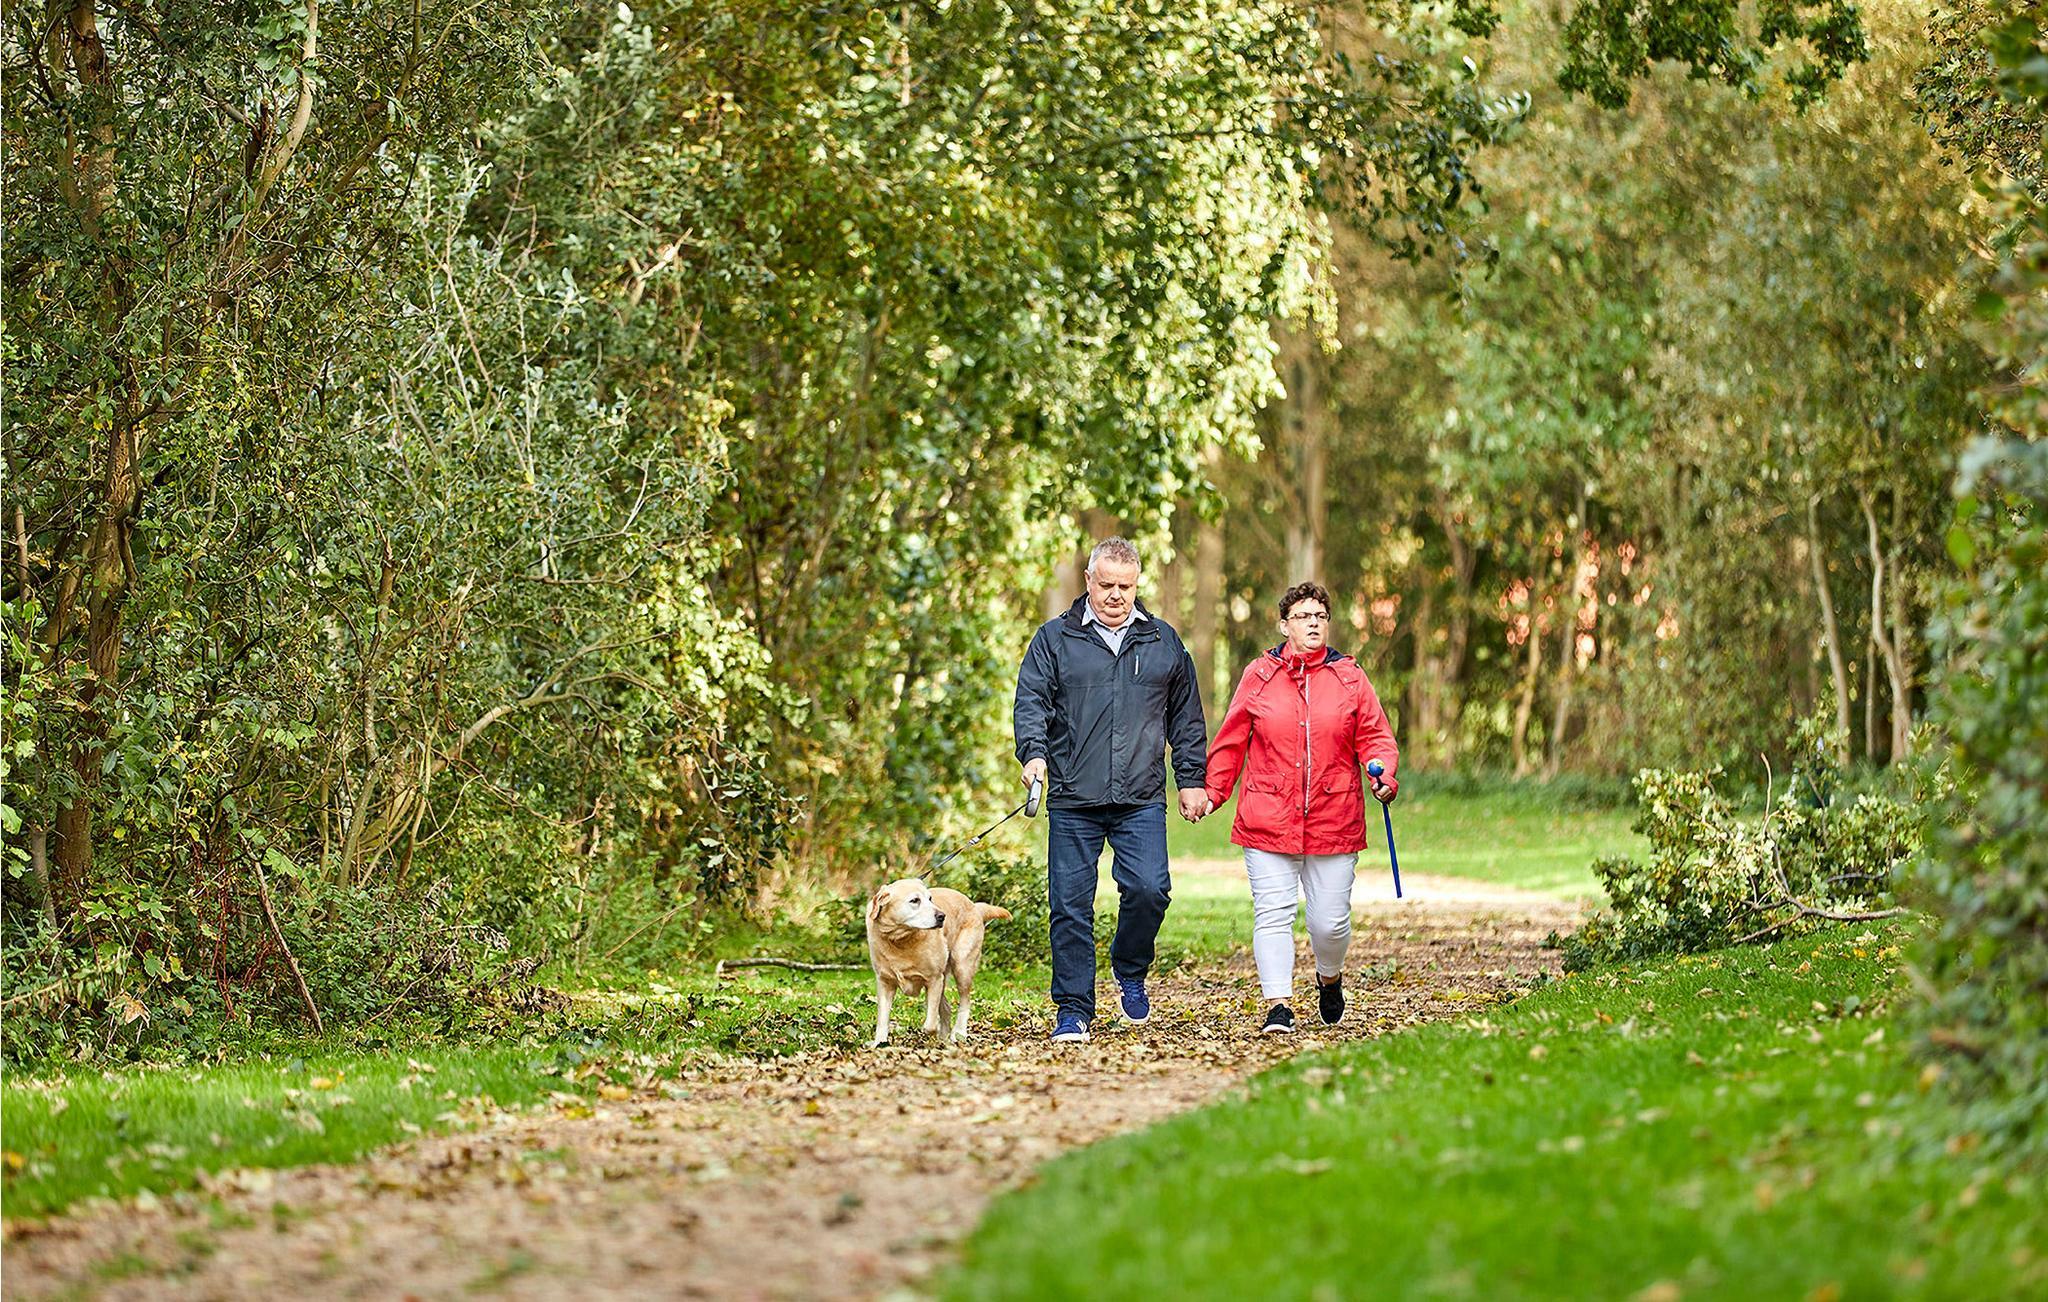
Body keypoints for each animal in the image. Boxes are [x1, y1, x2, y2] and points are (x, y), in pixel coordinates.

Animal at [865, 877, 1011, 1046]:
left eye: (930, 898)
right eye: (915, 900)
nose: (942, 916)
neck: (899, 940)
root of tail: (974, 906)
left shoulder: (934, 980)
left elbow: (930, 1024)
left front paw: (930, 1034)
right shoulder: (885, 982)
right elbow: (882, 1018)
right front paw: (879, 1043)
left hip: (962, 966)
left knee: (965, 1001)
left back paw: (958, 1033)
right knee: (946, 1007)